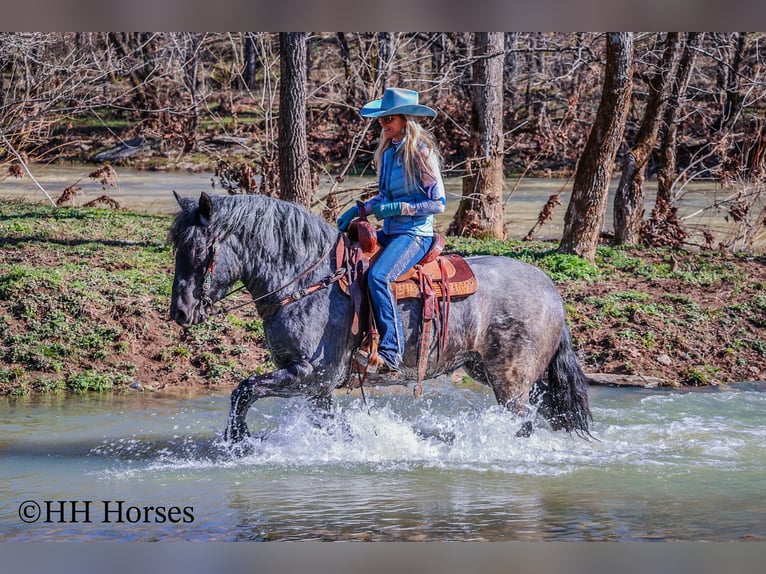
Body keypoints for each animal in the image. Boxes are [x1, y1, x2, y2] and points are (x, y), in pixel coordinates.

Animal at [170, 191, 592, 444]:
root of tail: (550, 290)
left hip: (511, 381)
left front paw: (238, 440)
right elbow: (325, 422)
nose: (180, 311)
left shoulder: (310, 374)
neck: (307, 280)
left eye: (200, 249)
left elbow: (243, 390)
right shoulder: (316, 387)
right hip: (498, 373)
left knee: (522, 422)